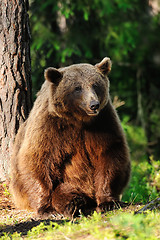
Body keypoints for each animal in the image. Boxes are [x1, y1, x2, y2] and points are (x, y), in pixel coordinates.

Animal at [9, 56, 131, 218]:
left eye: (95, 85)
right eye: (77, 87)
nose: (94, 104)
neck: (79, 119)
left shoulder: (103, 122)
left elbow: (109, 154)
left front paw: (107, 202)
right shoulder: (50, 126)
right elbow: (36, 159)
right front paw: (48, 209)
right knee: (64, 190)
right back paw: (73, 203)